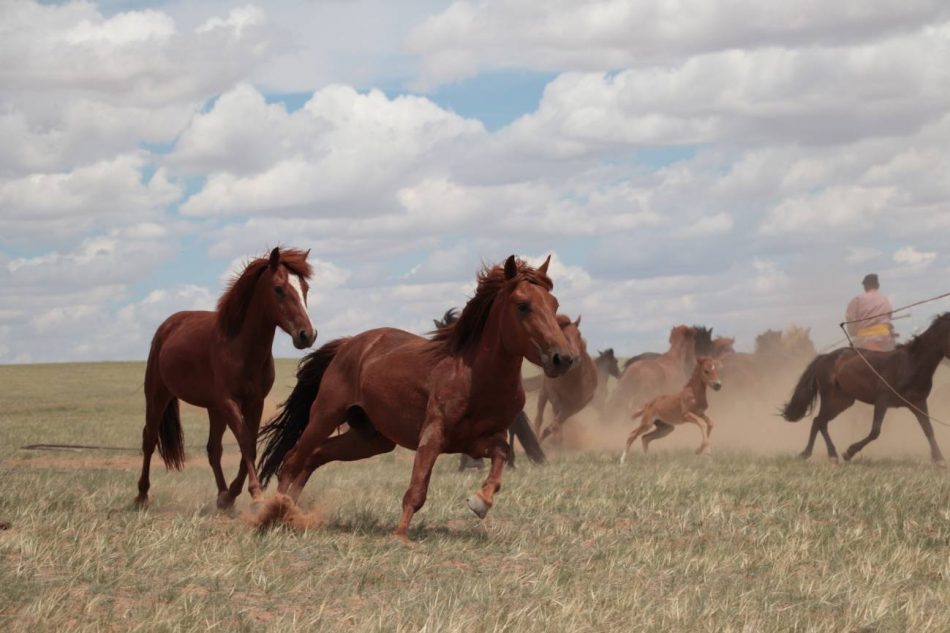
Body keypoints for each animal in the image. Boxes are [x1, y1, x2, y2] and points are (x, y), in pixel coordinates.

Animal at [137, 247, 316, 508]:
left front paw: (233, 493)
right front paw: (255, 494)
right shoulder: (229, 402)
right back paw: (142, 495)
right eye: (279, 289)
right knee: (149, 439)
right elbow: (246, 443)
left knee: (213, 449)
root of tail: (168, 326)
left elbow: (249, 444)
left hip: (213, 409)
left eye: (305, 288)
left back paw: (222, 497)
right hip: (157, 395)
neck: (240, 347)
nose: (307, 335)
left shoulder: (254, 402)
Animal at [256, 254, 576, 540]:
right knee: (292, 459)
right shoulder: (433, 436)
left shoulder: (480, 441)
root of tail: (349, 344)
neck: (475, 377)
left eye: (554, 305)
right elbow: (417, 488)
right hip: (325, 415)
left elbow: (502, 456)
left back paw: (292, 512)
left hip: (372, 439)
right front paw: (400, 536)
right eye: (523, 306)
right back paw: (274, 513)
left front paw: (480, 502)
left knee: (316, 455)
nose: (563, 358)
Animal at [536, 314, 604, 442]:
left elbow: (559, 420)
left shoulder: (577, 406)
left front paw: (553, 433)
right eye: (564, 336)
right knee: (539, 416)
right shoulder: (552, 391)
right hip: (543, 392)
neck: (572, 379)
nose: (575, 357)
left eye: (579, 334)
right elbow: (556, 408)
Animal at [784, 312, 950, 464]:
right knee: (819, 422)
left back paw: (822, 454)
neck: (910, 365)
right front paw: (849, 452)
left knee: (819, 422)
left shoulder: (918, 403)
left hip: (843, 402)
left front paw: (939, 459)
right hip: (830, 398)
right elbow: (875, 431)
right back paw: (819, 454)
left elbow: (928, 429)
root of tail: (824, 357)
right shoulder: (882, 400)